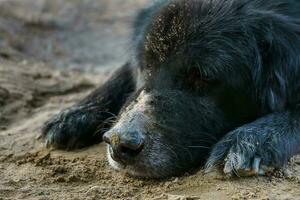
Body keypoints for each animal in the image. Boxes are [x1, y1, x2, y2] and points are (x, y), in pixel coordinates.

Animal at [41, 0, 300, 178]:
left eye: (202, 76)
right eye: (145, 67)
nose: (118, 143)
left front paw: (248, 141)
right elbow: (120, 75)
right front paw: (74, 115)